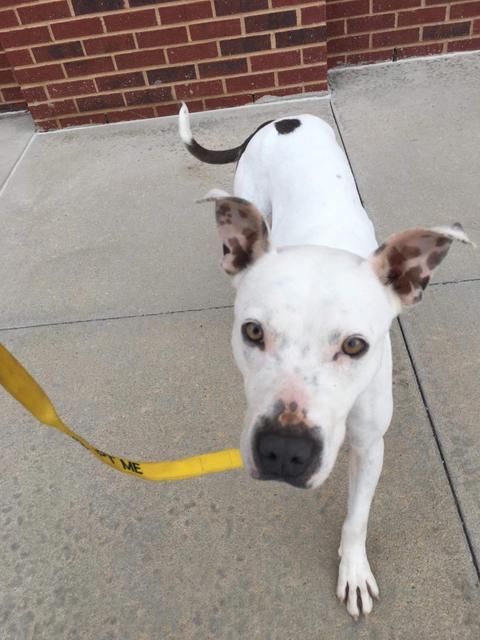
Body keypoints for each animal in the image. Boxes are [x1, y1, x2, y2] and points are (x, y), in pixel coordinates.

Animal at [178, 102, 470, 616]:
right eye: (252, 331)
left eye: (355, 345)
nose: (283, 451)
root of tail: (280, 115)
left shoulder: (370, 445)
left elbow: (357, 518)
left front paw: (353, 570)